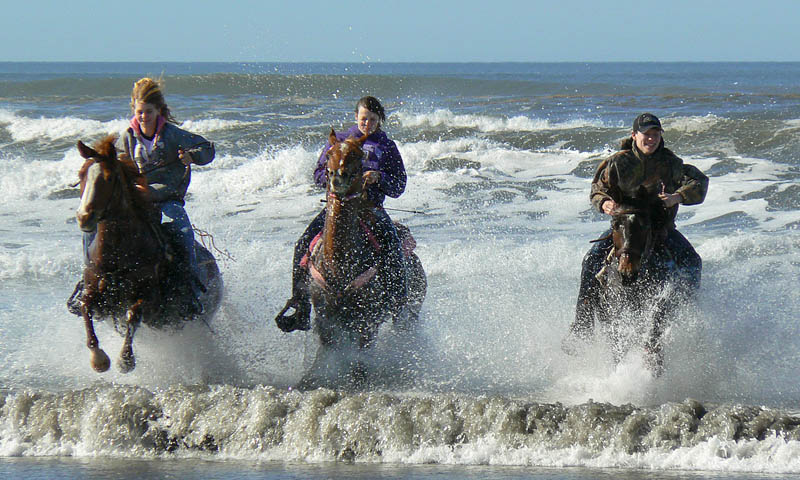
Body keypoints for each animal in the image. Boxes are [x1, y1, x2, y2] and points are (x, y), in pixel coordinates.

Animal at [72, 137, 222, 374]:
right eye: (81, 175)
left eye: (109, 177)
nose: (83, 217)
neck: (117, 257)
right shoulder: (96, 296)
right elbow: (86, 308)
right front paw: (99, 359)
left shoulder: (150, 300)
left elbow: (133, 313)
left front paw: (125, 360)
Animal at [580, 186, 696, 376]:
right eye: (615, 225)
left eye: (645, 226)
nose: (627, 272)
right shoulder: (611, 311)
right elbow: (618, 343)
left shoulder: (664, 298)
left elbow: (655, 324)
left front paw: (653, 363)